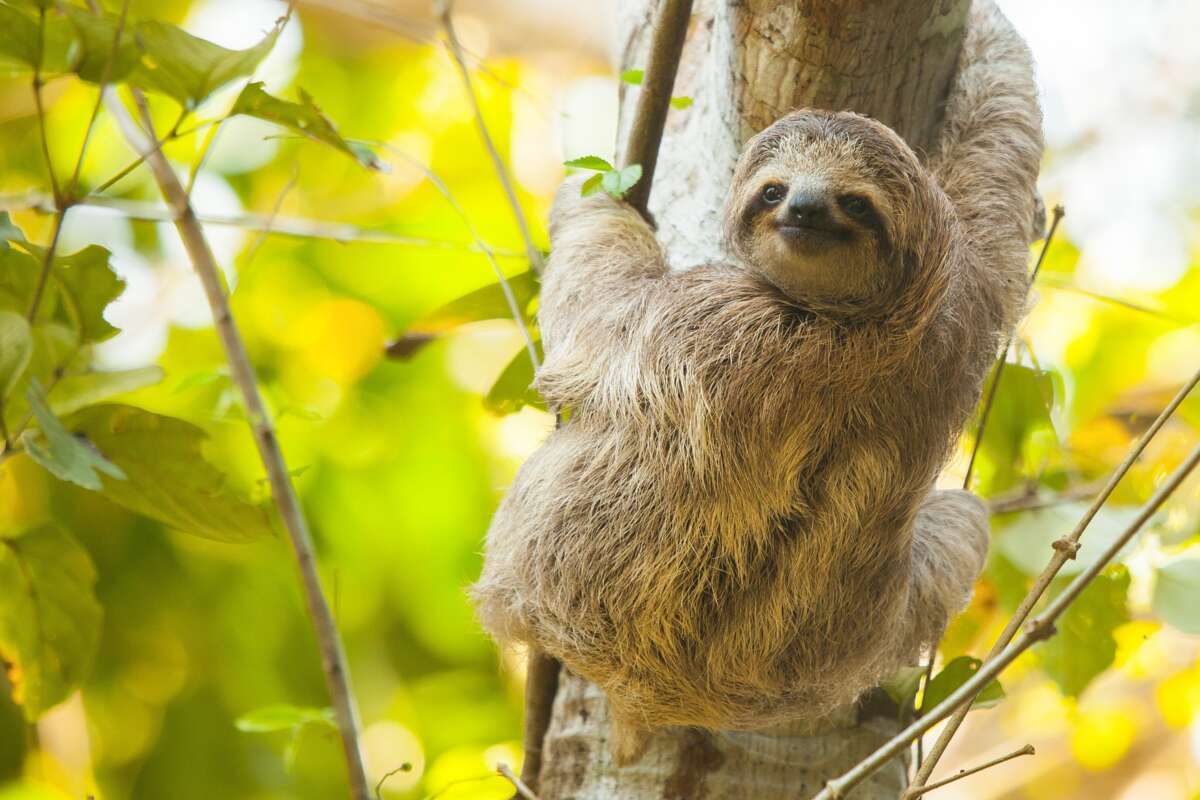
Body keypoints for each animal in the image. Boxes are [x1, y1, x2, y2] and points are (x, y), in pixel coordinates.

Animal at [472, 0, 1042, 762]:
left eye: (855, 203)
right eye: (774, 190)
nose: (804, 208)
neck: (860, 324)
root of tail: (685, 697)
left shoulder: (708, 319)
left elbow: (594, 327)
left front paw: (595, 204)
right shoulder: (961, 304)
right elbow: (996, 176)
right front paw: (990, 30)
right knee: (962, 526)